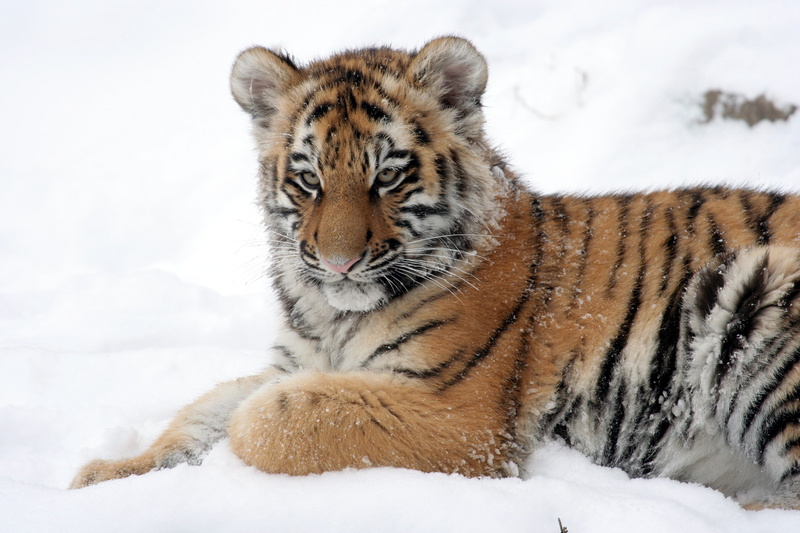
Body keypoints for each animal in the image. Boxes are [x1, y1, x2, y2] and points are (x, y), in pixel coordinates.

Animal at [70, 36, 800, 510]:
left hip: (756, 299)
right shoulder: (292, 360)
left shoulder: (459, 416)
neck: (331, 314)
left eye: (386, 176)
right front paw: (102, 477)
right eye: (308, 180)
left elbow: (272, 418)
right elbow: (199, 415)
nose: (338, 260)